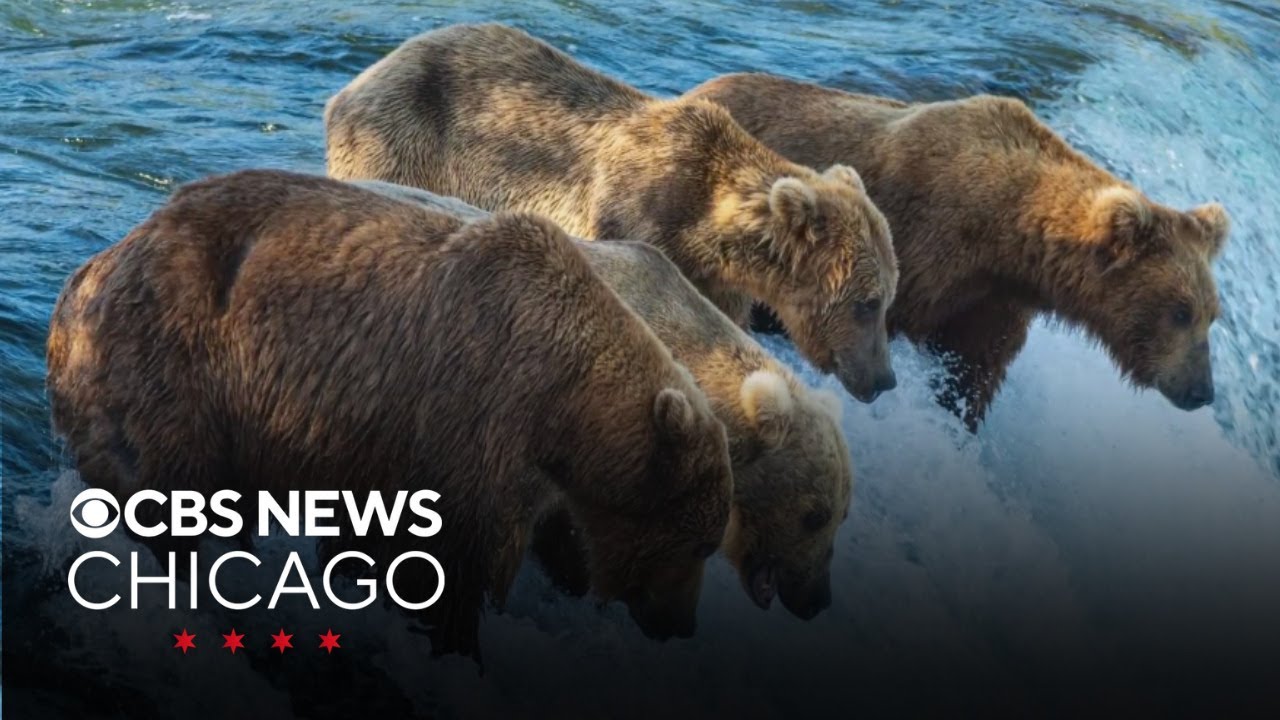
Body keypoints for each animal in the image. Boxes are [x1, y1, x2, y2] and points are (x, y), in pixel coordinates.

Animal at [45, 169, 734, 654]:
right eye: (699, 543)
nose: (681, 625)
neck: (562, 407)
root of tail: (90, 270)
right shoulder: (472, 416)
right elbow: (450, 564)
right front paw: (455, 638)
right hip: (173, 368)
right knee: (170, 499)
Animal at [324, 23, 900, 404]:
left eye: (887, 299)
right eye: (868, 303)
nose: (884, 380)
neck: (707, 228)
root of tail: (353, 84)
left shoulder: (714, 281)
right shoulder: (632, 217)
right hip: (403, 143)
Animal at [686, 73, 1231, 430]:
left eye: (1212, 314)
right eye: (1181, 311)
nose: (1202, 390)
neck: (1005, 239)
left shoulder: (993, 302)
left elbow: (973, 375)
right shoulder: (922, 252)